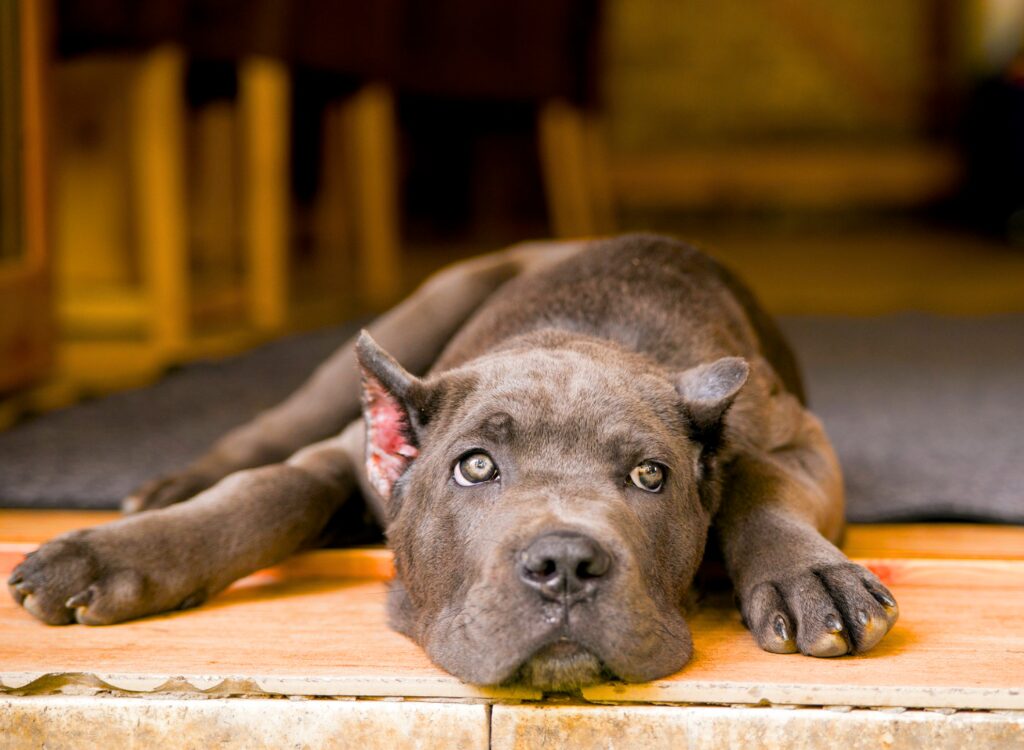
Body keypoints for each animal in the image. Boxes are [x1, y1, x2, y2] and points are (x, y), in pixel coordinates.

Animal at [8, 234, 897, 692]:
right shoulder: (349, 452)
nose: (565, 563)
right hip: (410, 318)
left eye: (652, 477)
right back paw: (168, 486)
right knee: (269, 429)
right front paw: (111, 556)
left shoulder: (797, 439)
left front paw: (811, 576)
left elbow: (759, 482)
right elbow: (269, 489)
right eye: (473, 468)